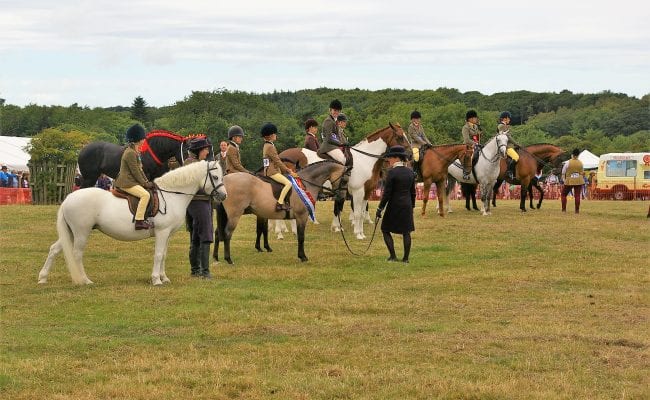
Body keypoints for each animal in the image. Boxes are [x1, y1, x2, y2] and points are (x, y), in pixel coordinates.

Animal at [38, 161, 227, 286]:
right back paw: (85, 280)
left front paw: (164, 278)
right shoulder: (162, 232)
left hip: (70, 232)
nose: (224, 196)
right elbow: (158, 255)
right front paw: (156, 280)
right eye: (215, 176)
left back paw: (43, 278)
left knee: (54, 249)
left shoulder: (167, 234)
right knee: (77, 254)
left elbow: (164, 255)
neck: (172, 194)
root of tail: (68, 198)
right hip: (81, 232)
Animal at [214, 161, 350, 264]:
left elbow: (262, 230)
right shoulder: (301, 216)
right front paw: (302, 256)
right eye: (345, 180)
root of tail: (224, 180)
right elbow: (301, 237)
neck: (305, 183)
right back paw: (228, 259)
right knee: (227, 233)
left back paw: (215, 257)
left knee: (217, 232)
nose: (341, 198)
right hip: (234, 215)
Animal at [276, 123, 408, 239]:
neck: (364, 160)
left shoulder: (366, 191)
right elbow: (356, 212)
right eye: (400, 137)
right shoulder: (357, 191)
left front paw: (359, 232)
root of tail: (280, 155)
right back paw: (281, 232)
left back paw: (286, 230)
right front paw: (357, 233)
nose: (409, 155)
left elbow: (358, 211)